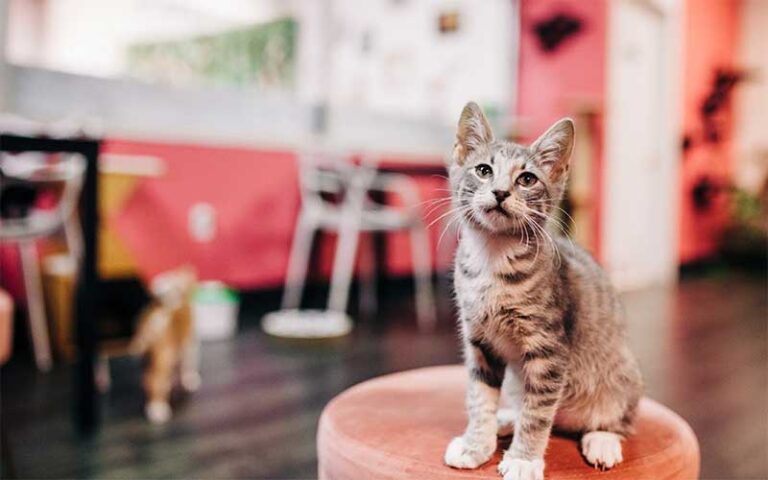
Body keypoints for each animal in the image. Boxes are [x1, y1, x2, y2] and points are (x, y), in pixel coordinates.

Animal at [444, 102, 640, 480]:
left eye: (527, 179)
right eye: (484, 170)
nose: (500, 192)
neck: (493, 257)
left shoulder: (549, 348)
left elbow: (538, 413)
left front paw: (523, 458)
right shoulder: (479, 341)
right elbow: (479, 396)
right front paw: (476, 444)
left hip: (623, 374)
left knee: (613, 420)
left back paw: (602, 439)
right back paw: (506, 419)